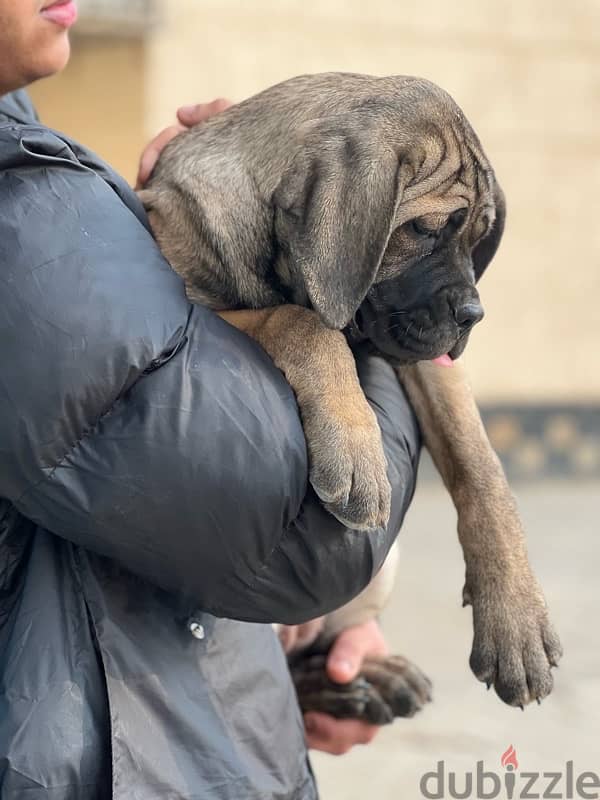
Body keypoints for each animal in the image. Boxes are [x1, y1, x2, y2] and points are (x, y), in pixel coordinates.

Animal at [141, 72, 564, 716]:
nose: (473, 314)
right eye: (422, 229)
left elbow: (480, 463)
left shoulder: (426, 354)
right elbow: (303, 323)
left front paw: (516, 619)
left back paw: (368, 681)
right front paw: (358, 454)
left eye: (477, 238)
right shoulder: (195, 305)